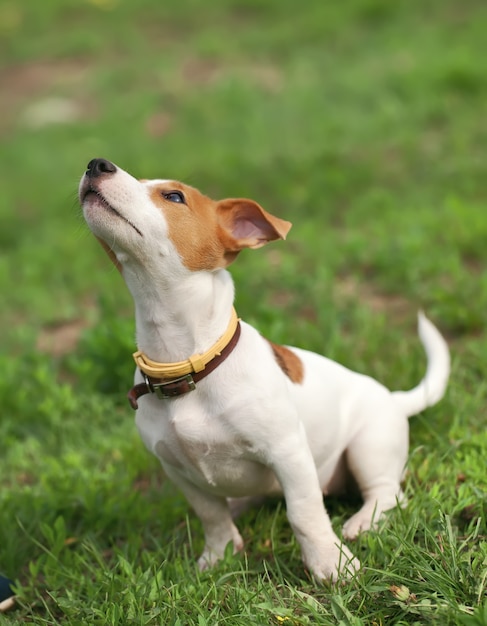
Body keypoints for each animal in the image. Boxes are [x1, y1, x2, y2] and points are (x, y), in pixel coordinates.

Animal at [79, 158, 450, 576]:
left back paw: (362, 522)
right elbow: (211, 515)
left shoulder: (287, 452)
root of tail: (393, 397)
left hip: (369, 446)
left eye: (173, 196)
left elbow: (304, 513)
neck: (189, 364)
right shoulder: (176, 469)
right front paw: (219, 554)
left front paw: (331, 564)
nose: (96, 164)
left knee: (387, 493)